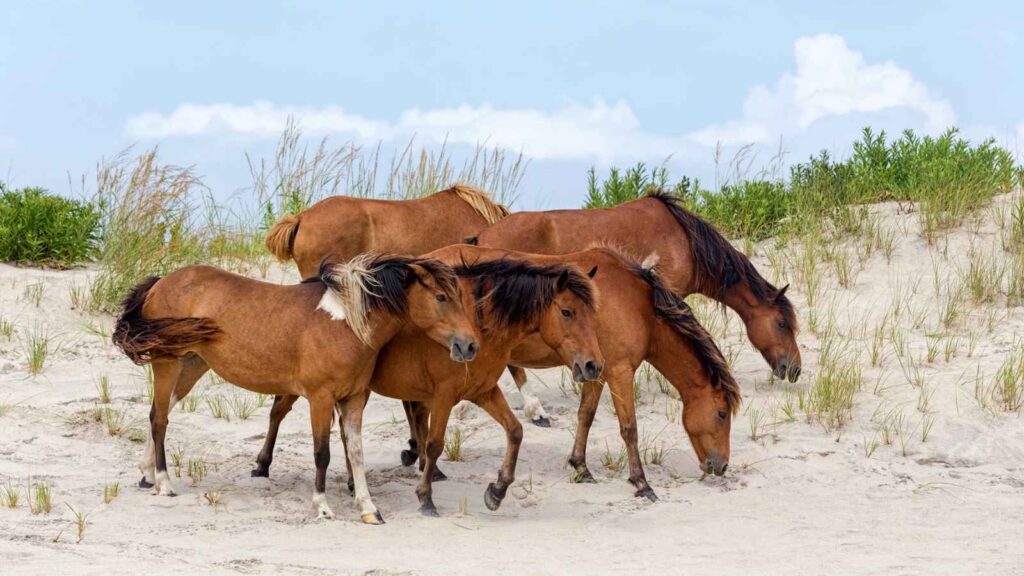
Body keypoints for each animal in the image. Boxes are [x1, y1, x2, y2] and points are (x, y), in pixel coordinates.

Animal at [111, 254, 478, 524]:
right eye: (441, 297)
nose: (469, 345)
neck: (346, 324)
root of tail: (160, 282)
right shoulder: (320, 398)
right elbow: (322, 453)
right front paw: (323, 506)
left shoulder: (354, 399)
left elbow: (356, 454)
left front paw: (369, 509)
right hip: (168, 363)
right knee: (159, 419)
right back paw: (164, 483)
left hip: (192, 364)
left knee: (161, 412)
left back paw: (146, 474)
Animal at [250, 244, 605, 516]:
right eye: (567, 312)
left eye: (592, 314)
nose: (593, 365)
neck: (480, 324)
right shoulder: (445, 395)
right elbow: (435, 444)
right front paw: (426, 497)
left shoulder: (484, 391)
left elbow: (515, 431)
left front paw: (497, 491)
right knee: (279, 411)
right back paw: (262, 465)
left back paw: (355, 482)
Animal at [402, 247, 740, 501]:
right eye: (722, 414)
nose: (721, 465)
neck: (638, 304)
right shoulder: (619, 371)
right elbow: (629, 429)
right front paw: (642, 483)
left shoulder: (595, 370)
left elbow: (585, 416)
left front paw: (580, 466)